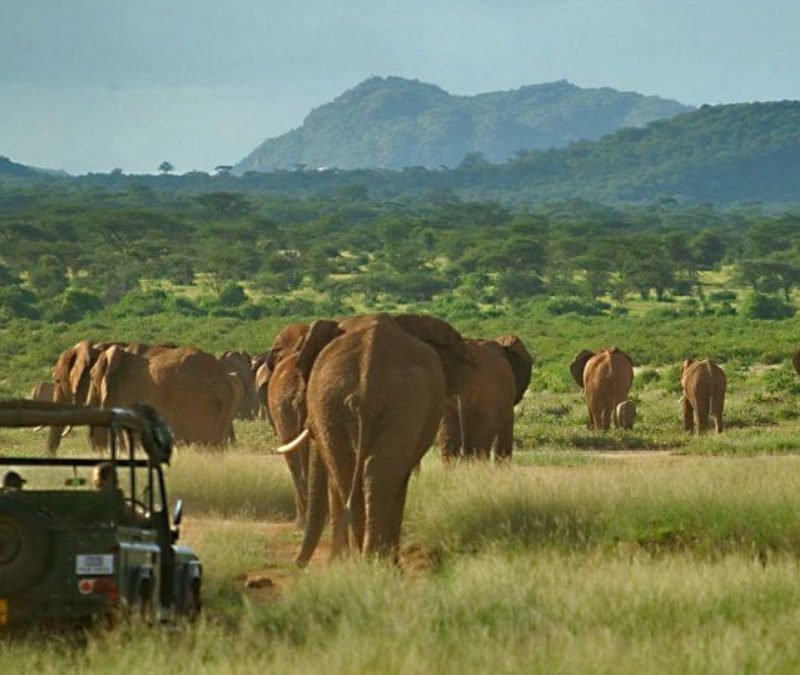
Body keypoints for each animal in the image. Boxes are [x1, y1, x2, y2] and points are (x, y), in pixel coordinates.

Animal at [282, 316, 472, 564]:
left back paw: (368, 560)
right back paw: (369, 560)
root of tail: (367, 384)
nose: (296, 563)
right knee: (367, 476)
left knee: (361, 476)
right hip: (345, 403)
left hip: (380, 404)